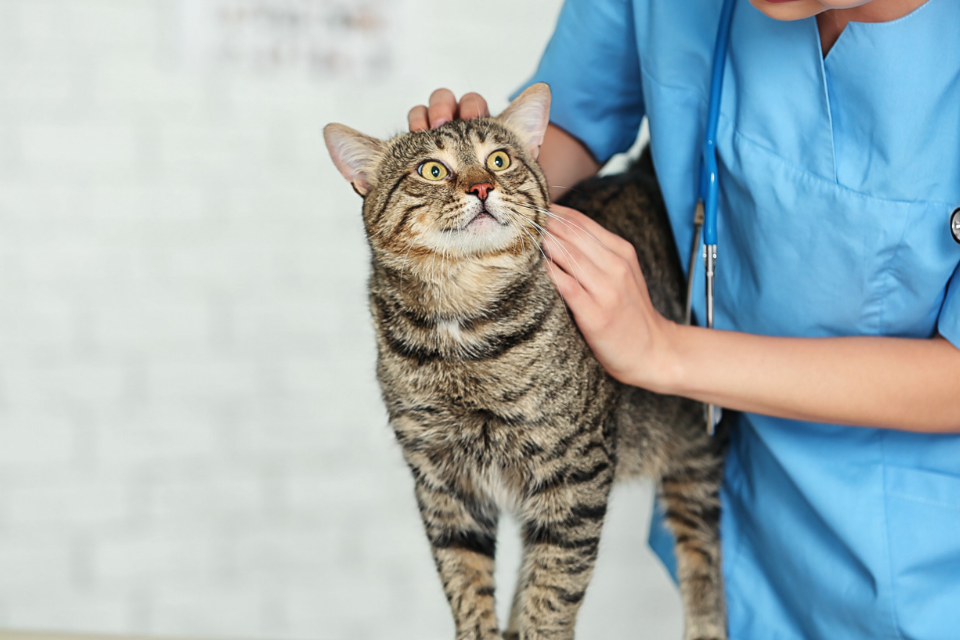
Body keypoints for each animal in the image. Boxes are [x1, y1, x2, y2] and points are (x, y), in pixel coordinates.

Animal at [324, 84, 728, 640]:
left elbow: (553, 589)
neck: (462, 323)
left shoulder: (574, 471)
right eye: (433, 170)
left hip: (693, 442)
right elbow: (466, 583)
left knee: (701, 543)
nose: (481, 188)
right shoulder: (442, 484)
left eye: (499, 160)